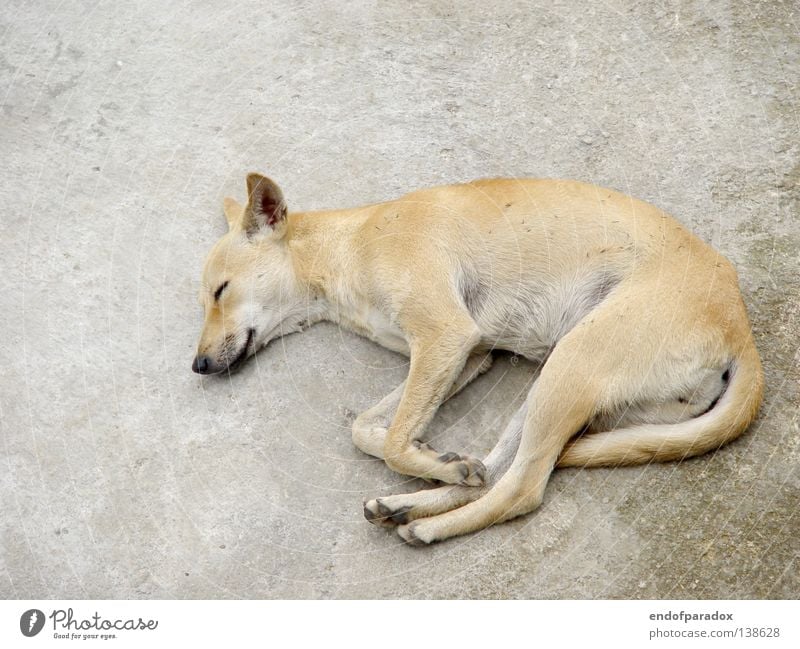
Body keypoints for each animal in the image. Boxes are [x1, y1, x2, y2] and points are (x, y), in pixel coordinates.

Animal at [194, 172, 764, 540]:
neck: (345, 250)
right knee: (496, 469)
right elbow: (368, 429)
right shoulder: (467, 356)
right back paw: (409, 502)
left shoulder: (445, 338)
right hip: (550, 385)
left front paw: (421, 457)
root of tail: (741, 330)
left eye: (220, 291)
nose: (197, 366)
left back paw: (427, 527)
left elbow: (395, 442)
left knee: (521, 488)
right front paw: (435, 460)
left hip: (570, 366)